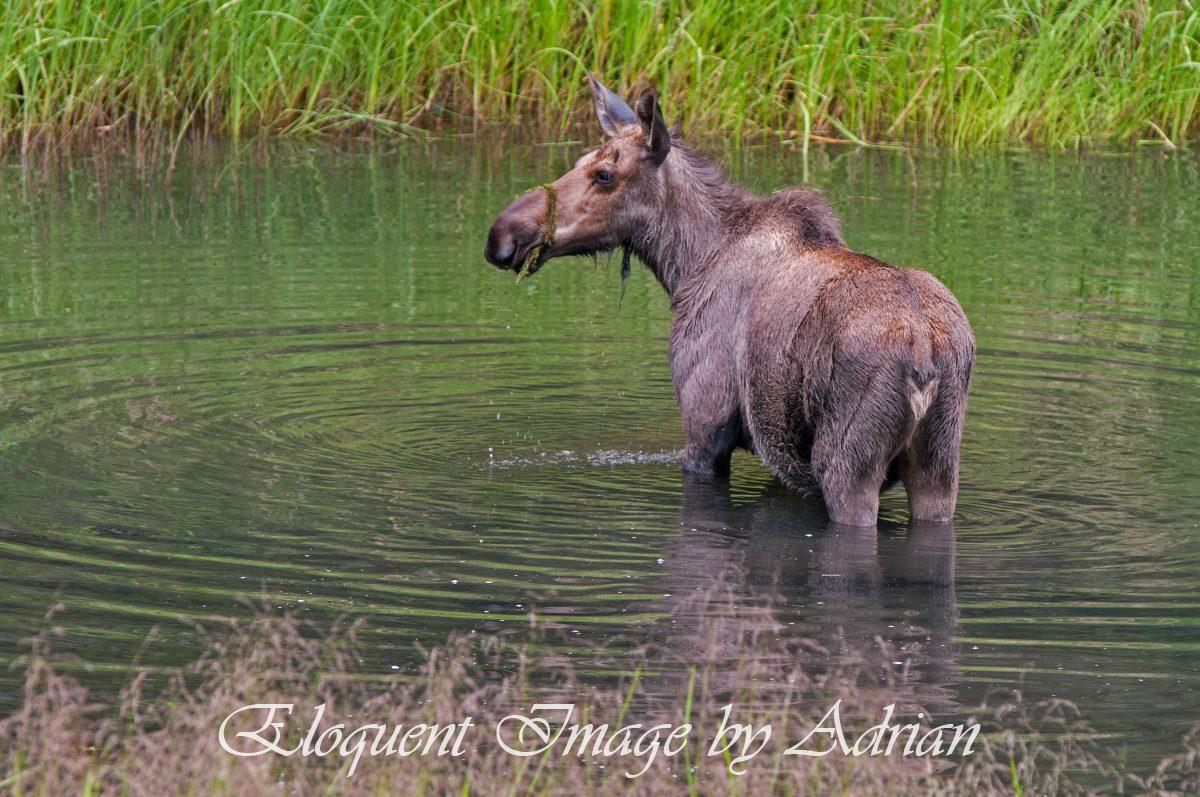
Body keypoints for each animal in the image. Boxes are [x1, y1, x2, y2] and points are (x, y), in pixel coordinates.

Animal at [484, 75, 975, 527]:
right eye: (580, 161)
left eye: (604, 174)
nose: (503, 234)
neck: (687, 264)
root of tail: (927, 353)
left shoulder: (705, 427)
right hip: (939, 463)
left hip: (848, 464)